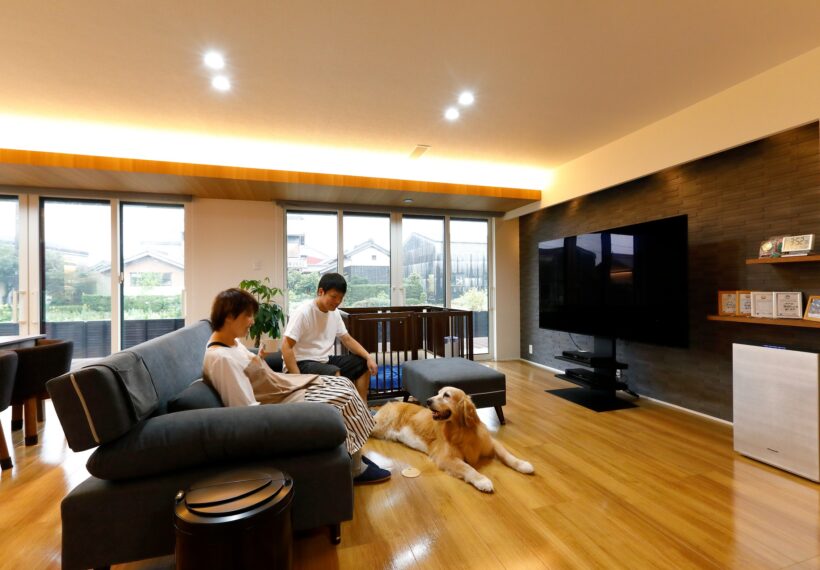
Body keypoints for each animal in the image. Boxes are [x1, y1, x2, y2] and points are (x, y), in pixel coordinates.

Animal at [373, 386, 534, 492]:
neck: (462, 431)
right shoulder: (446, 458)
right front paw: (482, 480)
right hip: (378, 426)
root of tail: (389, 403)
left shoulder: (491, 443)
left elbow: (507, 455)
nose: (428, 400)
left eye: (446, 395)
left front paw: (523, 464)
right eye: (437, 393)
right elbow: (467, 468)